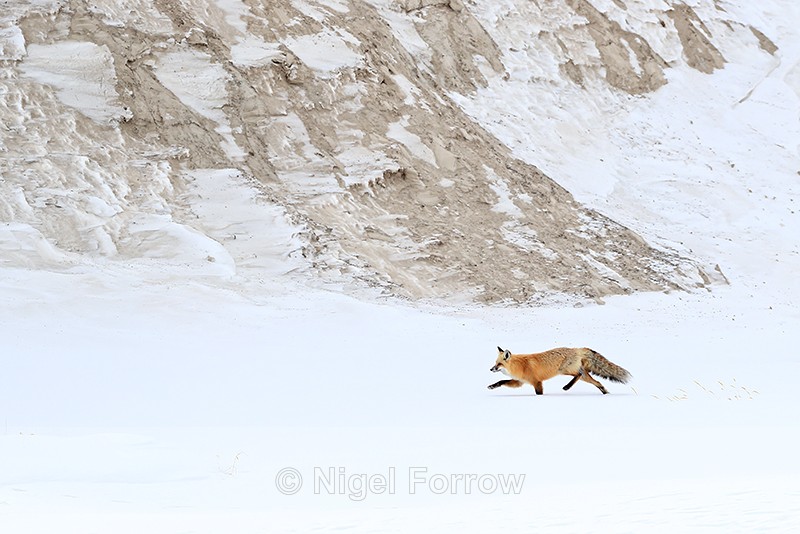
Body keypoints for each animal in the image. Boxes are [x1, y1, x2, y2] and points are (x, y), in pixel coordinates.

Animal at [488, 346, 631, 395]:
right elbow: (502, 381)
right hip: (582, 375)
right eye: (495, 363)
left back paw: (567, 386)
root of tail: (577, 348)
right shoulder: (520, 382)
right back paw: (605, 393)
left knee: (578, 374)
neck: (519, 365)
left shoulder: (537, 382)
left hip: (564, 370)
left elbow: (539, 393)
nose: (491, 369)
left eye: (499, 364)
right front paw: (492, 386)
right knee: (597, 382)